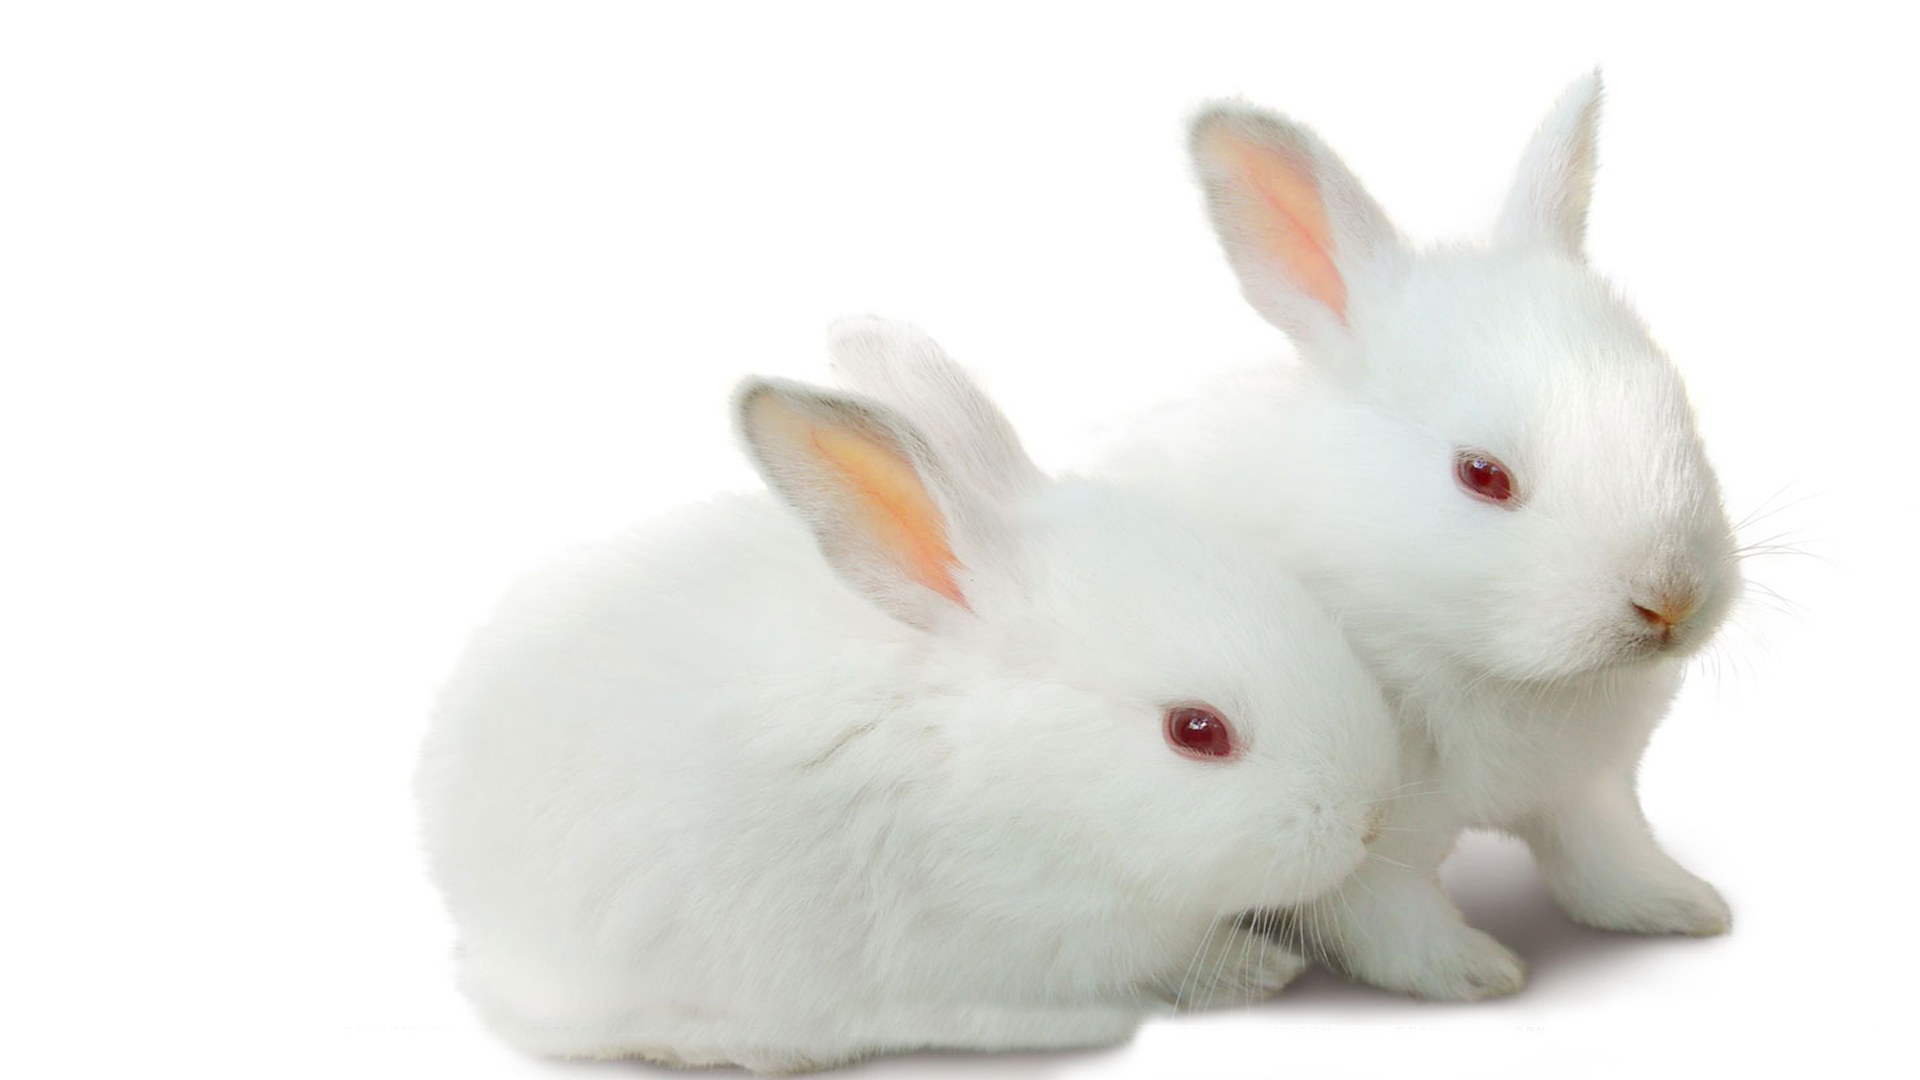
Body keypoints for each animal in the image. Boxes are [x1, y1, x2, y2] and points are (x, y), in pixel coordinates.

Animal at [1087, 73, 1743, 1000]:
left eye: (1676, 406)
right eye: (1482, 474)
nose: (1671, 600)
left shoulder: (1587, 790)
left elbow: (1605, 861)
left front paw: (1683, 907)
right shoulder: (1363, 848)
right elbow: (1392, 923)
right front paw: (1478, 974)